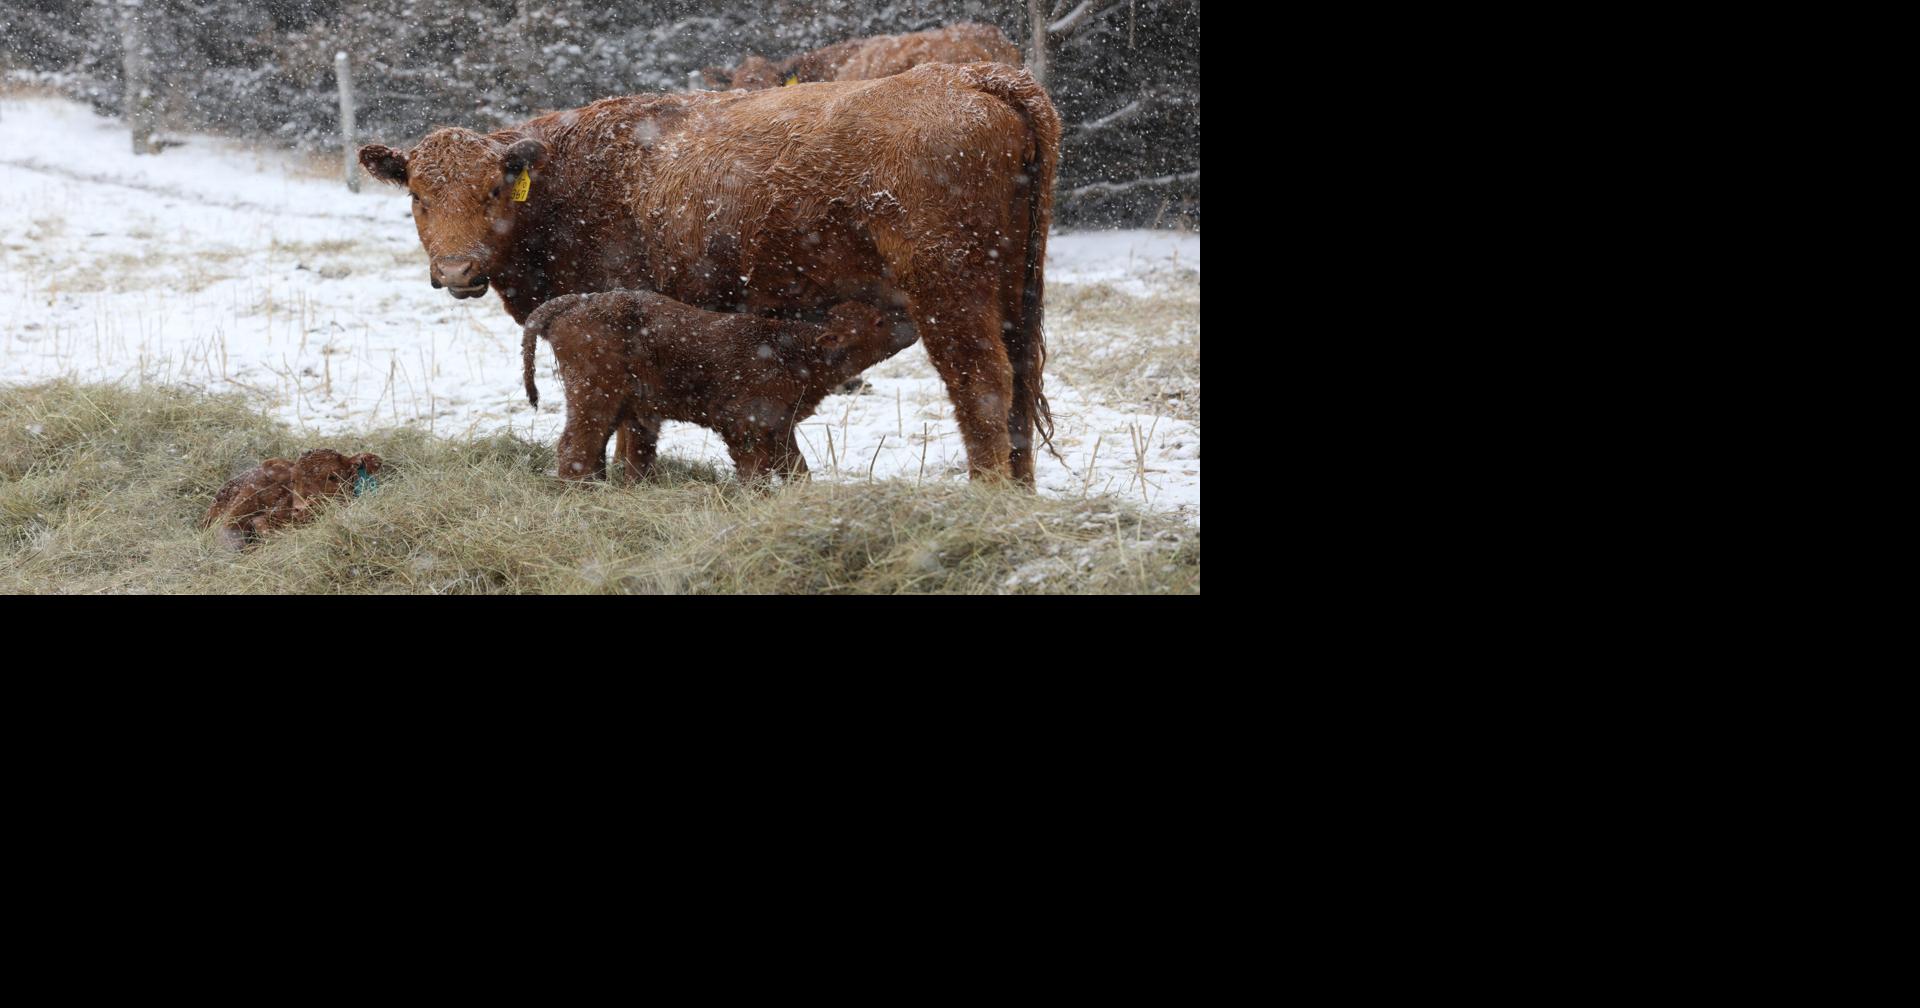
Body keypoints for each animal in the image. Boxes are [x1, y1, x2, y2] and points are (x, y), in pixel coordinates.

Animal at [522, 290, 913, 483]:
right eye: (878, 321)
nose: (911, 323)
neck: (790, 352)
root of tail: (572, 302)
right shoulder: (744, 424)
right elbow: (755, 473)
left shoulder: (780, 424)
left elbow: (796, 469)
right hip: (594, 393)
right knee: (576, 445)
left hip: (624, 406)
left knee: (615, 452)